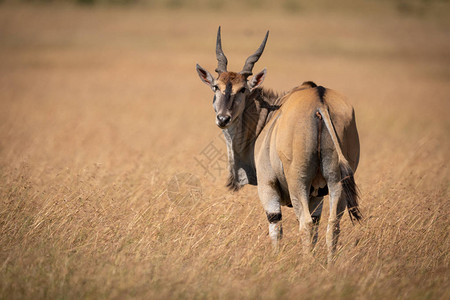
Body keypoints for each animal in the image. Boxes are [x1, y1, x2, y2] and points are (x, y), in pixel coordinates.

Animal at [197, 27, 362, 262]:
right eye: (215, 87)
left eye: (242, 90)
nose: (223, 118)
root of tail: (320, 101)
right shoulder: (317, 197)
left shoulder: (268, 188)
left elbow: (276, 228)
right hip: (335, 182)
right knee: (332, 225)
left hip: (297, 182)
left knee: (305, 224)